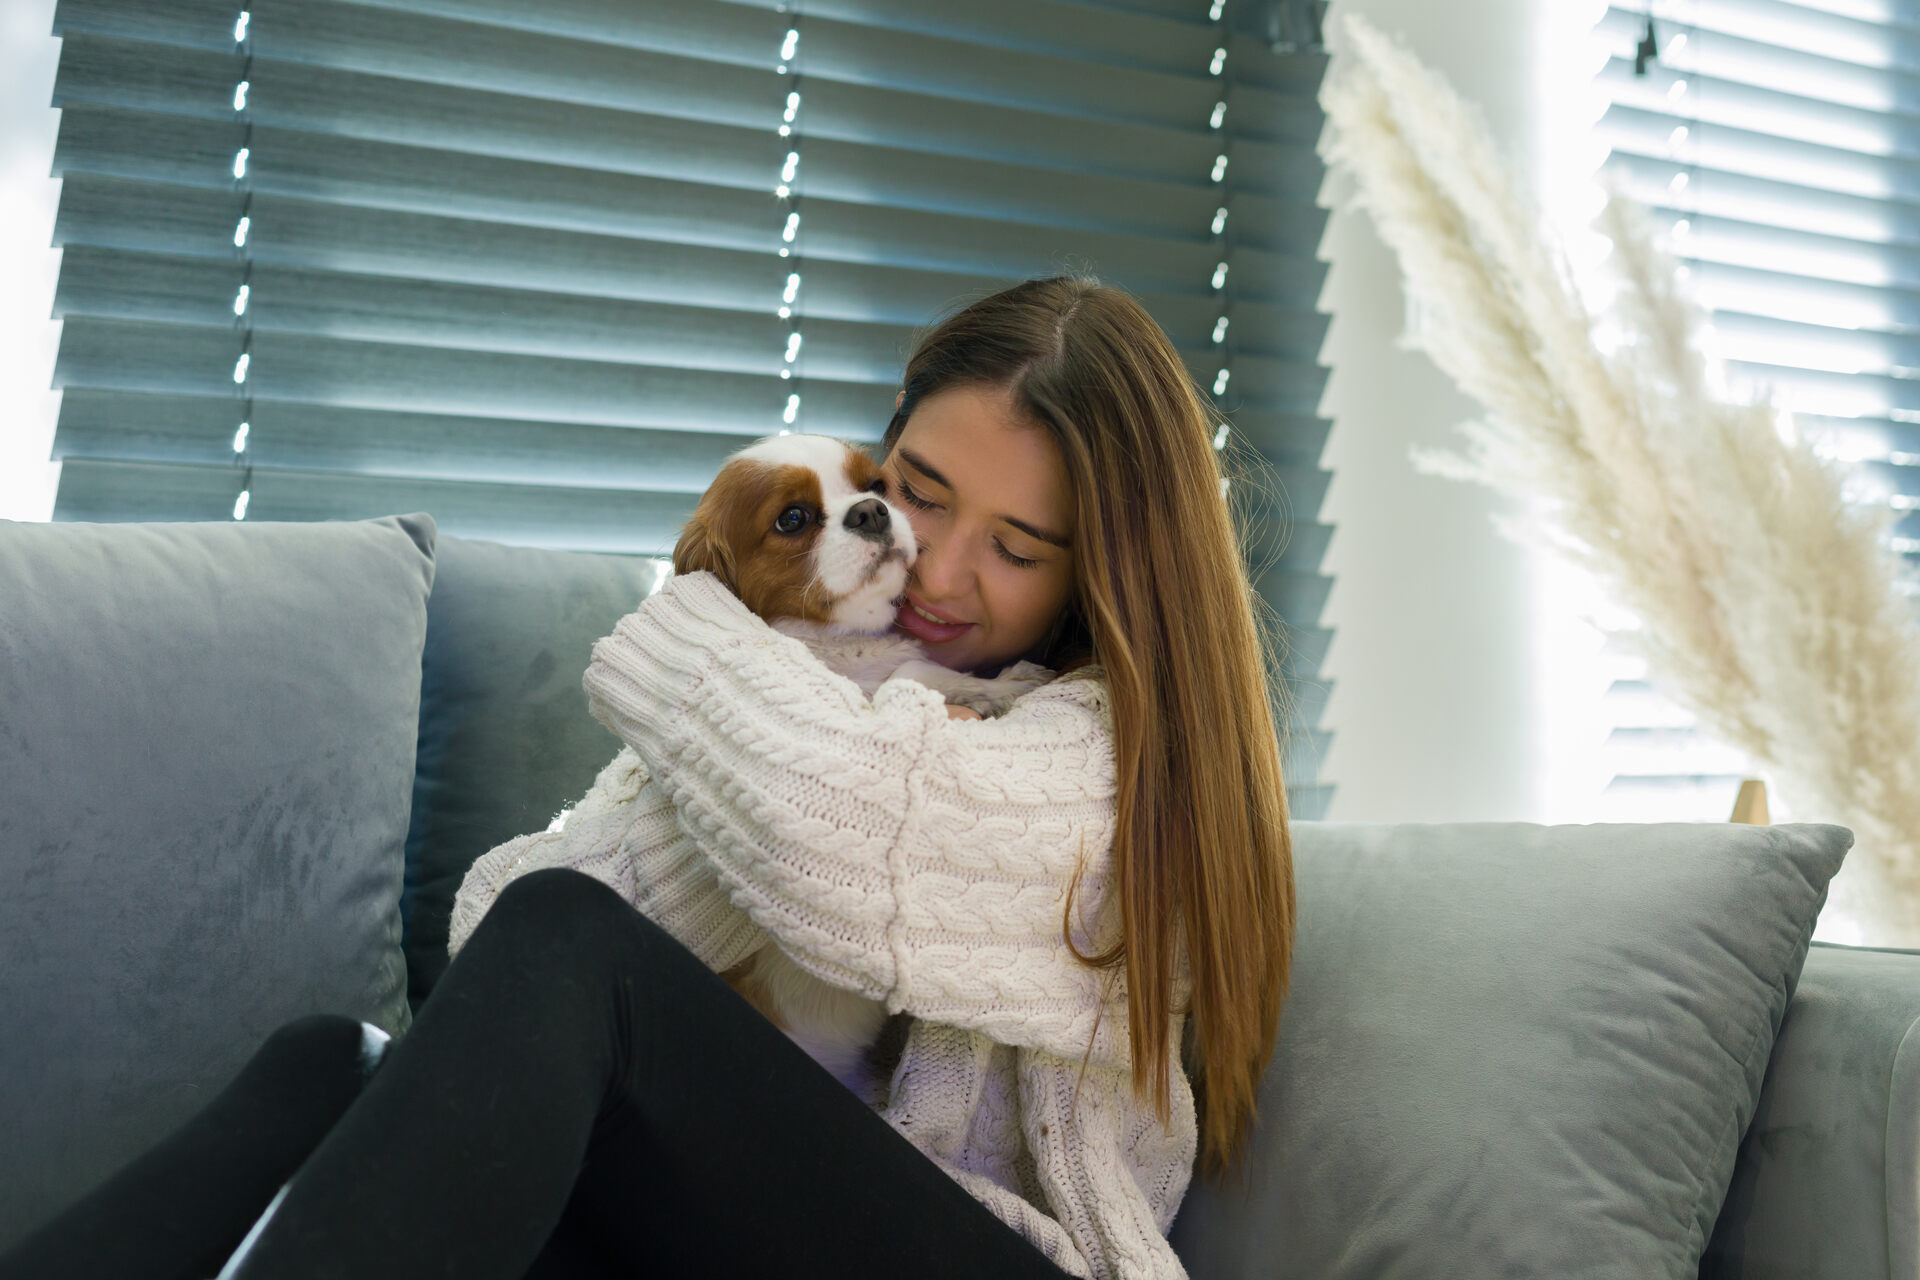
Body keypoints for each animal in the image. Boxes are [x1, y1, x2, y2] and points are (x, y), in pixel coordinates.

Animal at [660, 435, 1059, 1097]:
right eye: (792, 519)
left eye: (877, 486)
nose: (871, 512)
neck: (846, 647)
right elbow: (914, 673)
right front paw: (997, 686)